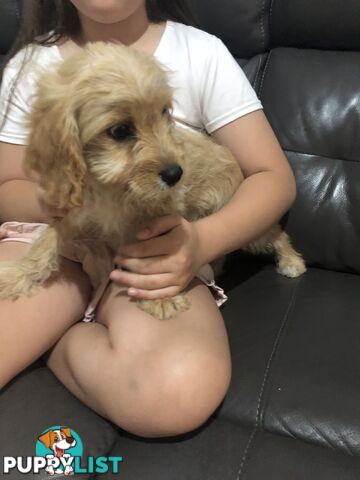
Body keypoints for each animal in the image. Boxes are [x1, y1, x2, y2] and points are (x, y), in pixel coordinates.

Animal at [0, 41, 306, 318]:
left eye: (164, 112)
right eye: (120, 130)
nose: (176, 174)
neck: (109, 189)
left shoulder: (156, 219)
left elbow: (155, 258)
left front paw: (160, 299)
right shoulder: (73, 215)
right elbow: (45, 242)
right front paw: (15, 275)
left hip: (246, 227)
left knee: (276, 234)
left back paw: (292, 261)